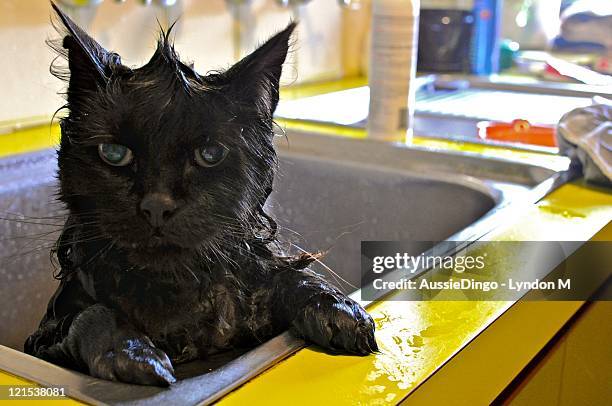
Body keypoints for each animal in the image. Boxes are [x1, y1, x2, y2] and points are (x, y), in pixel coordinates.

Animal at [23, 3, 376, 386]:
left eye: (210, 154)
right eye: (114, 153)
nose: (157, 206)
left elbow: (294, 276)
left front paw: (341, 308)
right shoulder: (44, 337)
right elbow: (92, 314)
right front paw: (132, 353)